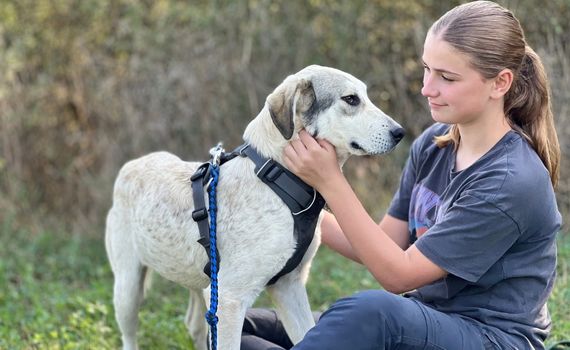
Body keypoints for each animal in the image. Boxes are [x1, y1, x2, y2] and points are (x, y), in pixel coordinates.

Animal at [103, 64, 404, 348]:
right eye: (351, 99)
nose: (400, 133)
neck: (278, 177)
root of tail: (133, 164)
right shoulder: (229, 300)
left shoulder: (288, 287)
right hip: (128, 290)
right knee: (130, 337)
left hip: (200, 283)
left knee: (194, 325)